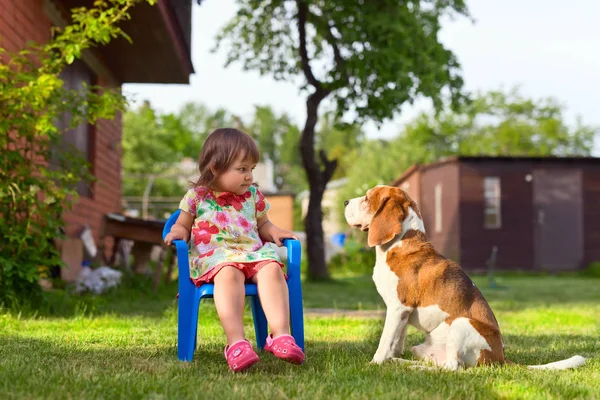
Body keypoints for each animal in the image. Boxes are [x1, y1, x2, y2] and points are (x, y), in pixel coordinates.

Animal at [344, 186, 584, 370]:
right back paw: (402, 363)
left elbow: (385, 341)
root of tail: (501, 357)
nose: (345, 201)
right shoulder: (401, 314)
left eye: (367, 198)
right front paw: (389, 359)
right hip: (422, 348)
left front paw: (374, 364)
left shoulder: (398, 307)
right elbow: (396, 341)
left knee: (453, 368)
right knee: (441, 363)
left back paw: (414, 368)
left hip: (461, 323)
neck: (400, 243)